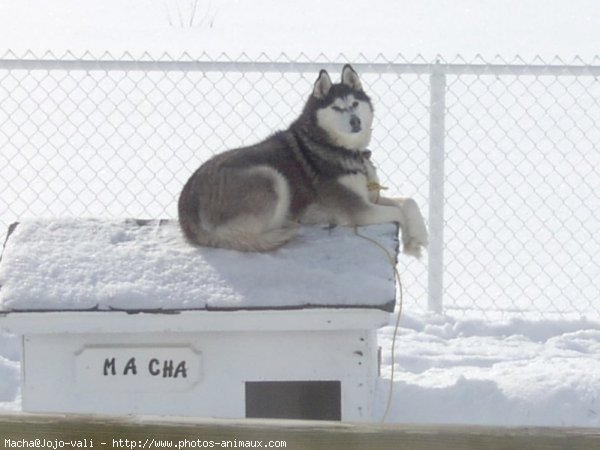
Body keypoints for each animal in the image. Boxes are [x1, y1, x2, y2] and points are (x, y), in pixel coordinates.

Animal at [177, 65, 426, 258]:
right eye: (336, 107)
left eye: (355, 104)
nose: (355, 121)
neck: (340, 148)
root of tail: (185, 212)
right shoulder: (357, 209)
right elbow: (398, 212)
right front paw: (411, 243)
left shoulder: (369, 196)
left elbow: (408, 202)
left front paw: (418, 236)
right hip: (270, 177)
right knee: (241, 236)